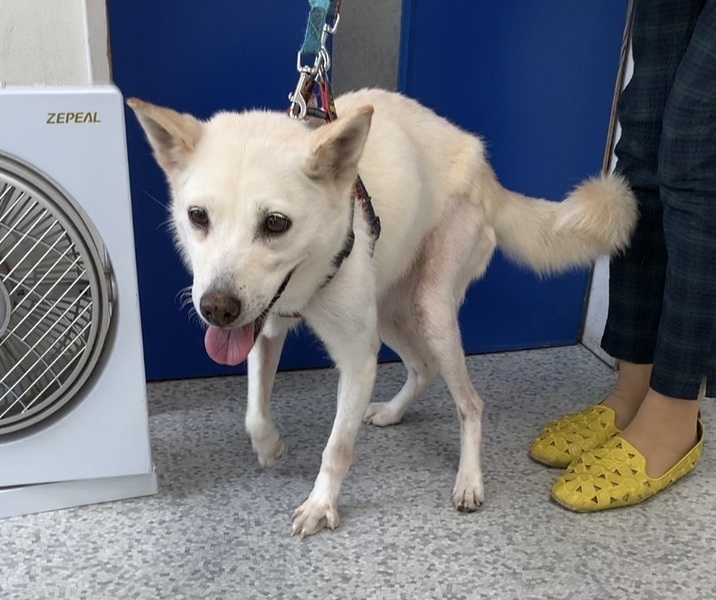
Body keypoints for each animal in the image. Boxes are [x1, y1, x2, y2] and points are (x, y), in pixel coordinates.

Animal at [128, 88, 637, 537]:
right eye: (197, 216)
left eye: (275, 223)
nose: (216, 309)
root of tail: (483, 166)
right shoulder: (264, 330)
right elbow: (254, 410)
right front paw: (269, 446)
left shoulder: (357, 358)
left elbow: (337, 447)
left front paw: (321, 505)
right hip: (391, 309)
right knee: (423, 366)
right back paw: (393, 413)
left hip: (431, 308)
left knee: (470, 402)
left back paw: (469, 480)